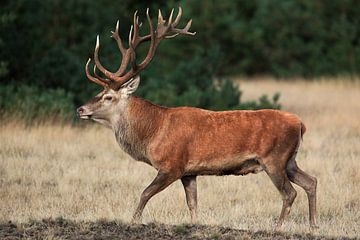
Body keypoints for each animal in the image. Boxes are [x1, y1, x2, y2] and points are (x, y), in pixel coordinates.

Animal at [78, 6, 318, 230]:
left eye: (108, 96)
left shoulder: (172, 165)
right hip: (290, 159)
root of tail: (301, 124)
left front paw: (133, 221)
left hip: (274, 158)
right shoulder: (189, 172)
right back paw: (313, 225)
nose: (81, 109)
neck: (153, 132)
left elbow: (145, 193)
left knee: (289, 193)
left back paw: (278, 227)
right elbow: (192, 204)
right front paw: (194, 224)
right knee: (311, 181)